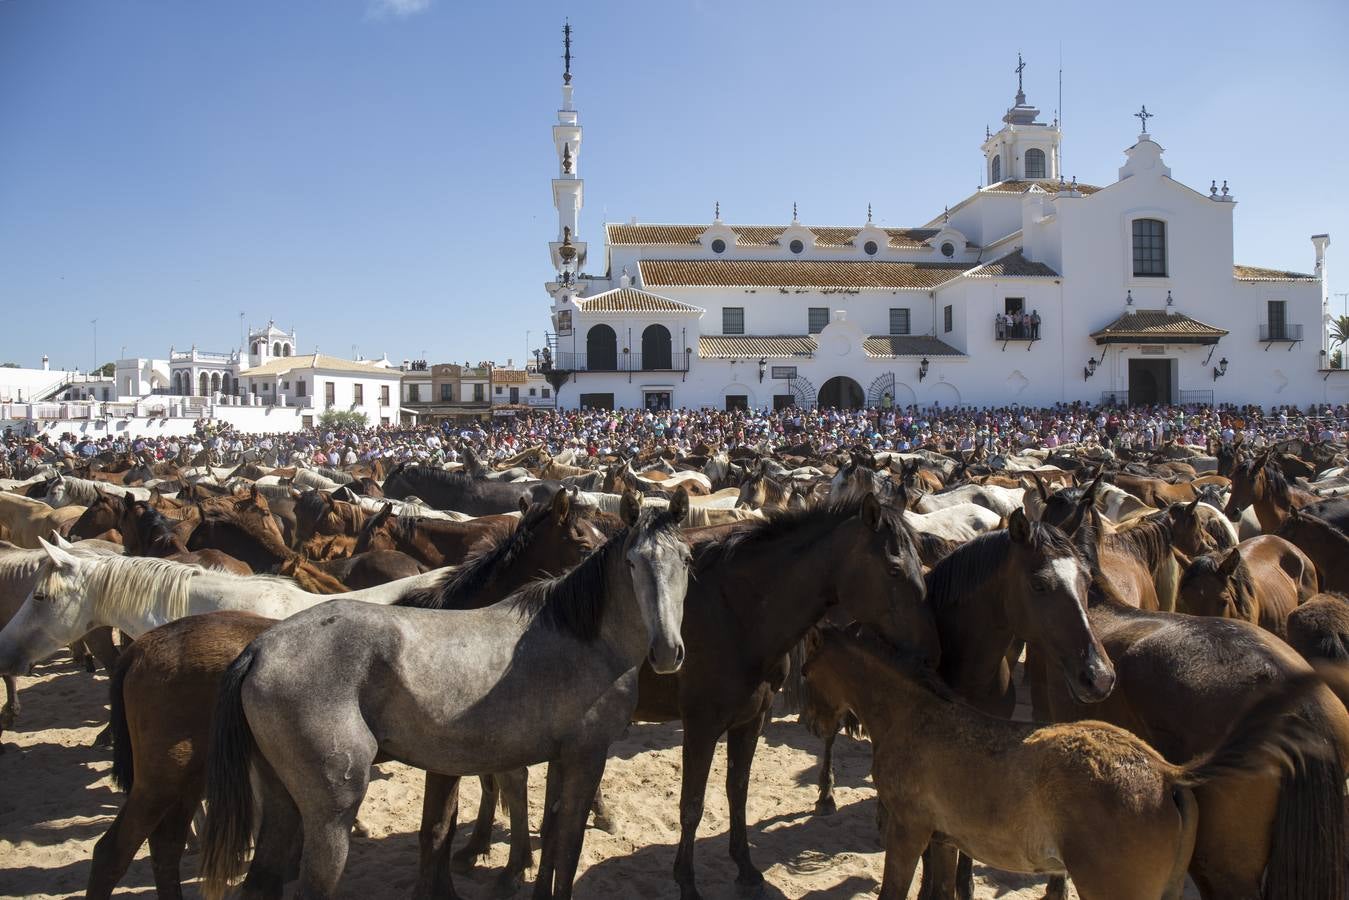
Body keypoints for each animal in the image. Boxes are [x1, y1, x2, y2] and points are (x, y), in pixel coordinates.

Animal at [87, 493, 609, 900]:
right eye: (582, 542)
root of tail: (143, 648)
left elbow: (444, 824)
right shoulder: (448, 761)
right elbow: (436, 830)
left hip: (188, 775)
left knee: (165, 846)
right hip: (163, 778)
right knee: (114, 852)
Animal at [203, 488, 690, 900]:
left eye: (685, 560)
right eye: (632, 562)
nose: (668, 651)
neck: (579, 634)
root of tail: (259, 650)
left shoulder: (556, 757)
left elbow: (548, 839)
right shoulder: (585, 757)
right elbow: (564, 847)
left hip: (282, 803)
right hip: (330, 814)